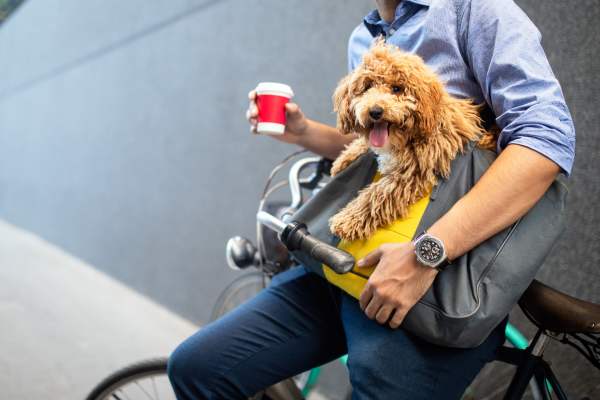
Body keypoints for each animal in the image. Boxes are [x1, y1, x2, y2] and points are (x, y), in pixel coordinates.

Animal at [328, 39, 496, 241]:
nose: (375, 111)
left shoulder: (414, 171)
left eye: (396, 89)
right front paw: (343, 160)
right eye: (367, 87)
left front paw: (347, 220)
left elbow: (377, 194)